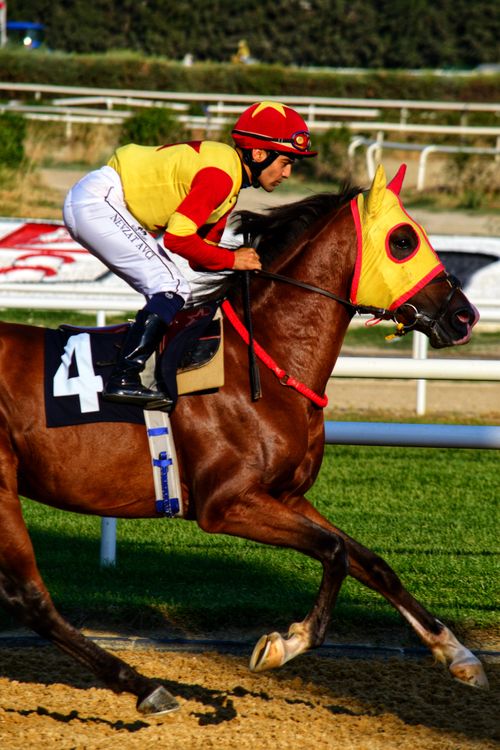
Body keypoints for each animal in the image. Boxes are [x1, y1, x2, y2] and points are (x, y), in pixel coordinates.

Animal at [0, 164, 487, 716]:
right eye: (403, 240)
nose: (465, 316)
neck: (262, 357)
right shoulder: (227, 504)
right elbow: (335, 553)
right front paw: (285, 644)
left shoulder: (285, 495)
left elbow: (370, 561)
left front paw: (458, 653)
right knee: (29, 598)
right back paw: (146, 687)